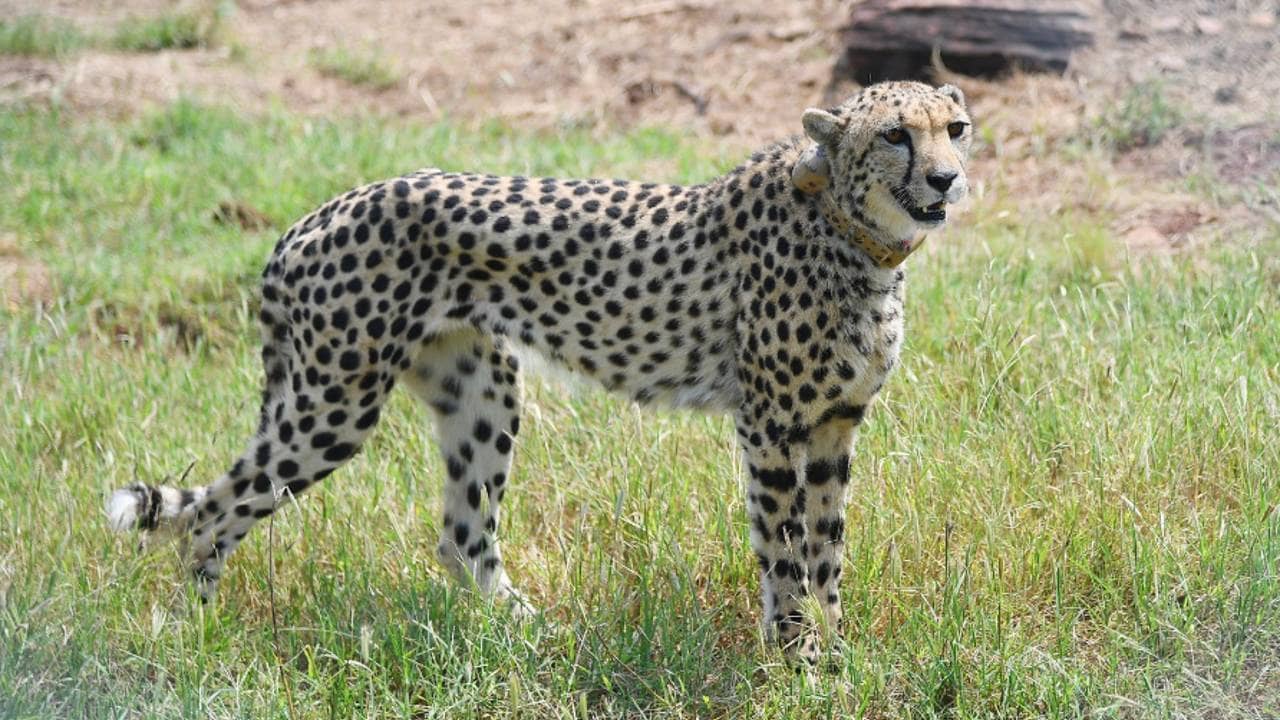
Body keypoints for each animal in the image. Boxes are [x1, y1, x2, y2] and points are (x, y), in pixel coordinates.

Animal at [106, 80, 973, 661]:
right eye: (896, 135)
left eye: (956, 128)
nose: (946, 178)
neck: (855, 234)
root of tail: (314, 216)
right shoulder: (771, 427)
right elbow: (785, 553)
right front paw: (799, 658)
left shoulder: (833, 427)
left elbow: (828, 551)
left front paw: (837, 652)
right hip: (334, 404)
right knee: (213, 514)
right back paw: (196, 633)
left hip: (481, 390)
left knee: (462, 536)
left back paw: (530, 635)